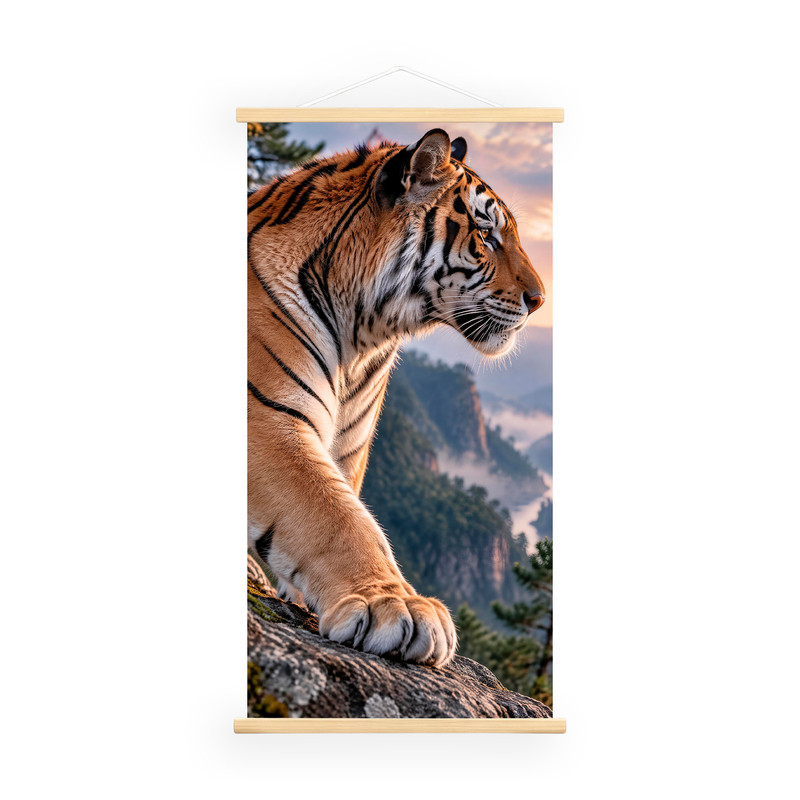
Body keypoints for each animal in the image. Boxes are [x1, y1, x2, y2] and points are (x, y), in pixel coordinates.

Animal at [248, 128, 545, 668]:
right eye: (486, 235)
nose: (539, 301)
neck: (363, 336)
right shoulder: (267, 415)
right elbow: (336, 515)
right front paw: (394, 606)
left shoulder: (346, 449)